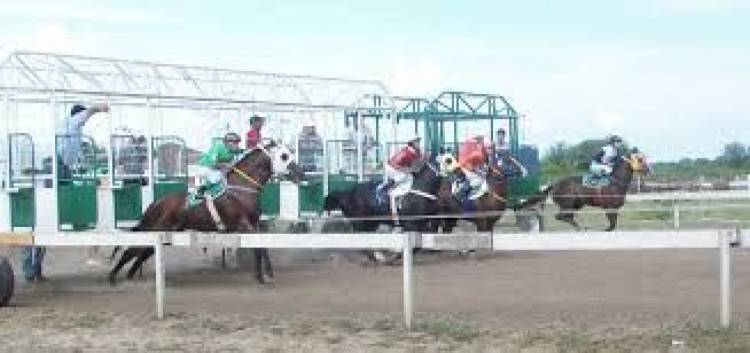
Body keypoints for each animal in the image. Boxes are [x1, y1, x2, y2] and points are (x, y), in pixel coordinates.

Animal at [108, 143, 302, 284]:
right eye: (284, 156)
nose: (301, 172)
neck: (241, 188)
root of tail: (156, 203)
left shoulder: (254, 224)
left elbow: (263, 247)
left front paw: (267, 273)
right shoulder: (244, 224)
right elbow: (259, 248)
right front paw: (260, 277)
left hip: (166, 234)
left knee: (143, 252)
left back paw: (130, 275)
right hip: (157, 229)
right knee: (131, 251)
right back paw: (113, 277)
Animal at [520, 151, 648, 231]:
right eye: (640, 159)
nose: (648, 170)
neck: (616, 182)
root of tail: (555, 184)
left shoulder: (614, 208)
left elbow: (613, 225)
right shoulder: (609, 207)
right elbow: (611, 225)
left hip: (576, 204)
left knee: (566, 216)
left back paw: (580, 227)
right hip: (567, 204)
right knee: (561, 216)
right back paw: (580, 227)